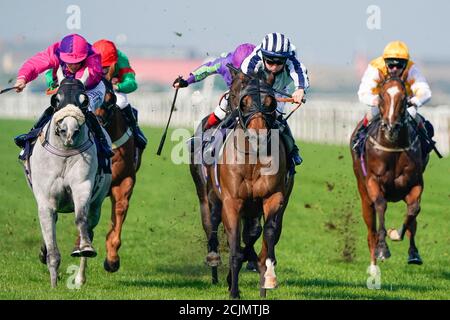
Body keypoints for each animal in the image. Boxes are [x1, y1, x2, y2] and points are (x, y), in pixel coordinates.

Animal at [27, 105, 111, 288]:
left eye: (83, 103)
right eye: (57, 102)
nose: (69, 133)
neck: (65, 155)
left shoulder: (82, 185)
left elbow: (80, 219)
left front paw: (85, 247)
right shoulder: (46, 202)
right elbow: (51, 246)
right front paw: (53, 283)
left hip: (96, 207)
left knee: (89, 227)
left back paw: (80, 277)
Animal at [198, 69, 296, 298]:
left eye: (270, 101)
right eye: (244, 101)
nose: (257, 136)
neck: (252, 159)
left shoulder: (272, 198)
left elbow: (267, 232)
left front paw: (267, 276)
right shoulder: (232, 201)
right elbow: (234, 245)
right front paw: (234, 290)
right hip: (211, 196)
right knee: (213, 222)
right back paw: (216, 261)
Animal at [352, 72, 426, 278]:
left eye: (404, 97)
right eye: (382, 95)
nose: (391, 127)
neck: (393, 147)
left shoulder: (415, 183)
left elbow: (413, 210)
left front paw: (396, 234)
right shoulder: (373, 181)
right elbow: (381, 205)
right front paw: (383, 249)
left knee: (412, 219)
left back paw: (413, 254)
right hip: (363, 195)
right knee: (371, 230)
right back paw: (373, 267)